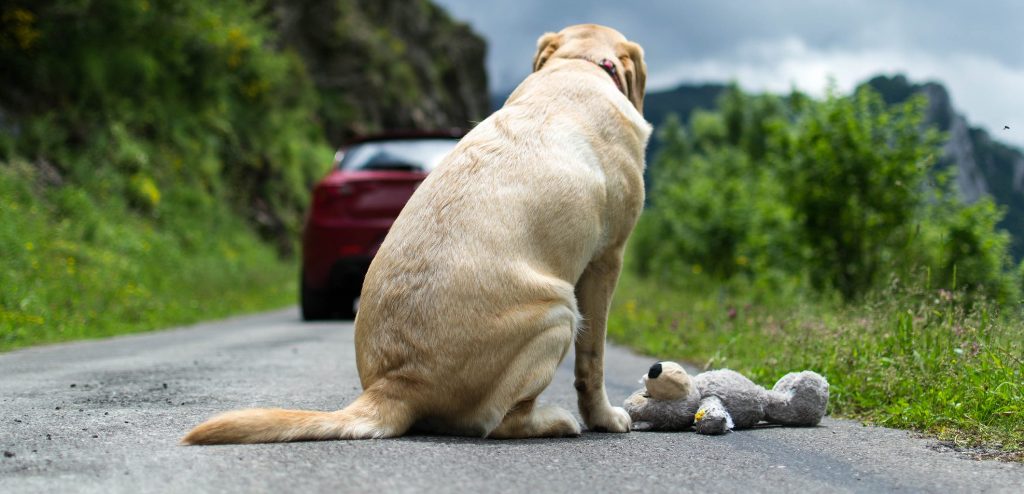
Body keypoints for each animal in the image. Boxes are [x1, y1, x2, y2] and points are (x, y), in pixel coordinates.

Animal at [183, 24, 647, 444]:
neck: (576, 64)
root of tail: (397, 384)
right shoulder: (608, 259)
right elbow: (593, 360)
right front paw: (605, 417)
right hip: (559, 310)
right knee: (497, 422)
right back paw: (556, 421)